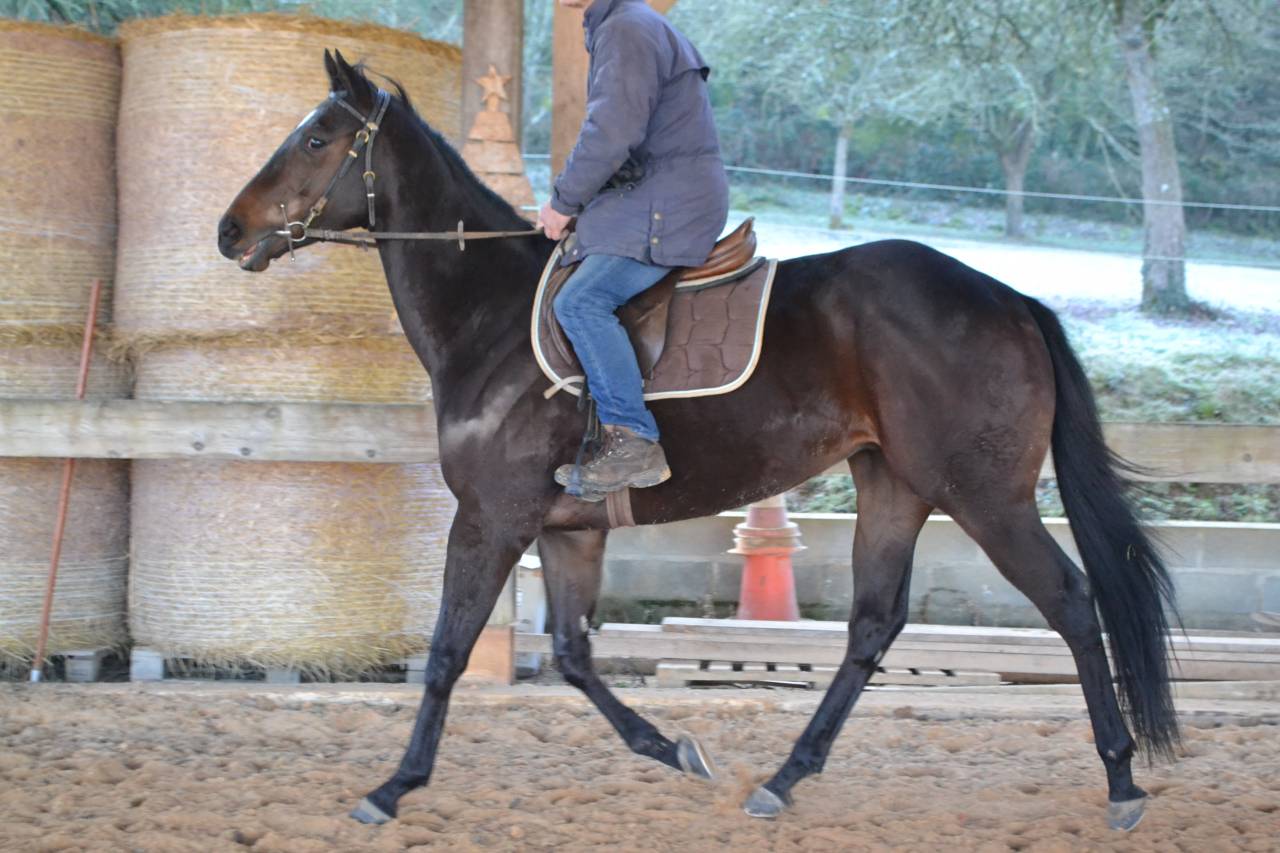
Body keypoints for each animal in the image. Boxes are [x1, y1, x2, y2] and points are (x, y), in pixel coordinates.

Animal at [217, 51, 1178, 832]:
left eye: (316, 138)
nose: (230, 230)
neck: (489, 316)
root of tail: (1008, 297)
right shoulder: (567, 531)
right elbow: (572, 656)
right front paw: (672, 748)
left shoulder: (491, 518)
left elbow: (449, 653)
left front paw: (393, 786)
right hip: (894, 487)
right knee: (873, 625)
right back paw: (785, 777)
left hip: (983, 496)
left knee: (1071, 601)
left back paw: (1122, 780)